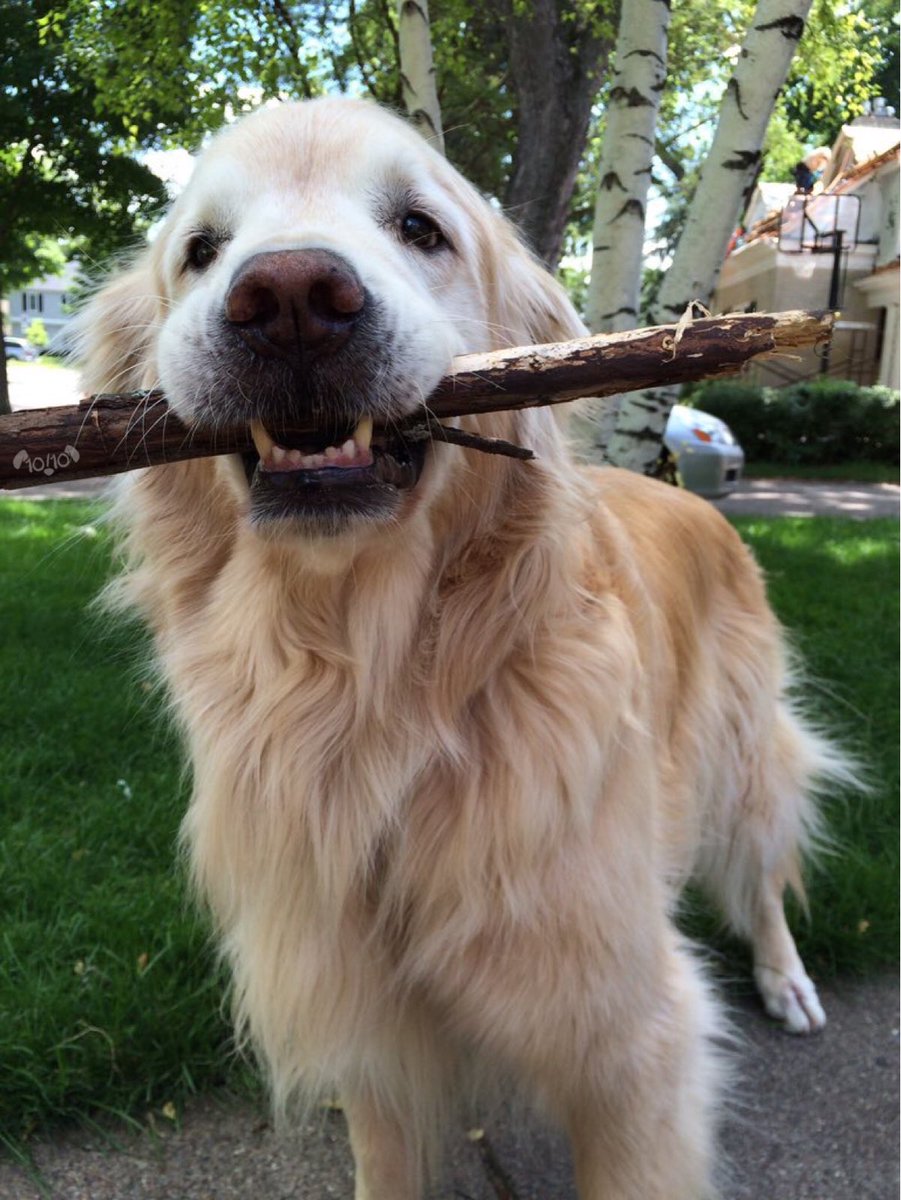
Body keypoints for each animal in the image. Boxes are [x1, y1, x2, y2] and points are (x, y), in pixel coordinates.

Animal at [75, 98, 849, 1198]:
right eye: (200, 251)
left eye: (420, 228)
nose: (290, 298)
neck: (372, 692)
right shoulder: (369, 1029)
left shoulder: (631, 1040)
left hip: (742, 755)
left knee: (765, 868)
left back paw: (787, 981)